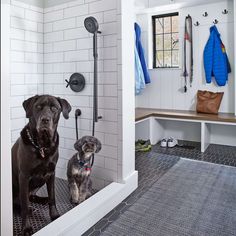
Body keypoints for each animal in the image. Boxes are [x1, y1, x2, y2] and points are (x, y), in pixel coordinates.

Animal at [12, 95, 71, 235]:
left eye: (54, 108)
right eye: (38, 107)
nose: (45, 119)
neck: (43, 146)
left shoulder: (51, 173)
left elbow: (53, 197)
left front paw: (54, 215)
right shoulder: (24, 176)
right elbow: (24, 206)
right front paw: (26, 228)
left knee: (32, 196)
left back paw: (43, 199)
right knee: (20, 202)